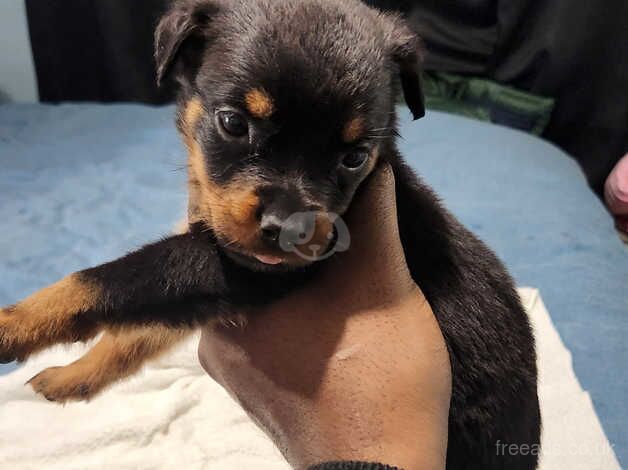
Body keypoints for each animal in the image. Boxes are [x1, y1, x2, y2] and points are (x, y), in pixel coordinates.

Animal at [0, 1, 540, 468]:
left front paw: (15, 324)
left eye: (355, 157)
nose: (289, 229)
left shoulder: (246, 273)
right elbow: (137, 330)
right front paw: (72, 377)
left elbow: (118, 279)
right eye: (234, 123)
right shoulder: (218, 267)